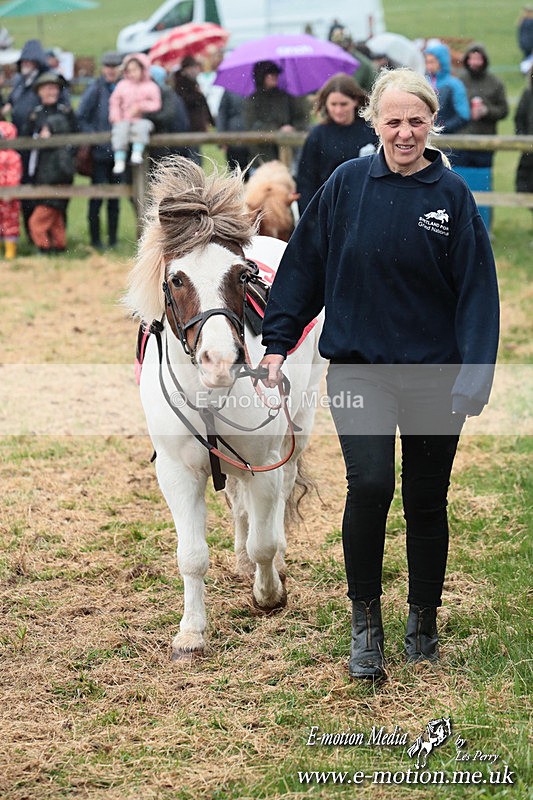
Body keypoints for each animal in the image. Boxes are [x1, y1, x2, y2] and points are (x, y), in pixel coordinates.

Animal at [124, 156, 325, 660]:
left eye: (240, 274)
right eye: (177, 278)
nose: (220, 360)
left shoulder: (265, 462)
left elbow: (265, 543)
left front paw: (269, 594)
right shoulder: (177, 470)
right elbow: (192, 555)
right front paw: (191, 632)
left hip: (300, 425)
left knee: (276, 501)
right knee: (238, 503)